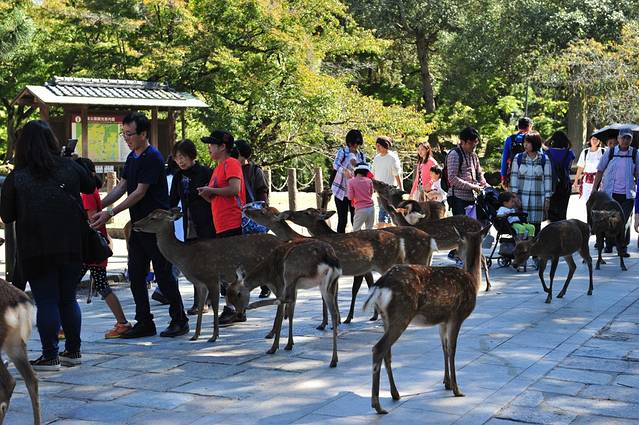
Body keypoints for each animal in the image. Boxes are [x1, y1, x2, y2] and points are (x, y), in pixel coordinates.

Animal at [132, 208, 287, 342]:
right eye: (149, 214)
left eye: (153, 217)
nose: (134, 224)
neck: (185, 258)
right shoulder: (199, 283)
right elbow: (201, 307)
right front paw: (195, 336)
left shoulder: (212, 277)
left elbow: (215, 307)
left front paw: (213, 337)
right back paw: (272, 333)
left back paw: (274, 333)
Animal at [364, 225, 490, 414]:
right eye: (459, 240)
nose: (453, 252)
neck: (473, 281)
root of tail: (380, 285)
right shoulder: (457, 315)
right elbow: (452, 349)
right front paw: (457, 389)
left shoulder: (443, 320)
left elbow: (444, 347)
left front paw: (446, 382)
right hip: (402, 314)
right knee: (378, 349)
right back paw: (377, 405)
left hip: (387, 317)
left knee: (387, 352)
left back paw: (395, 394)